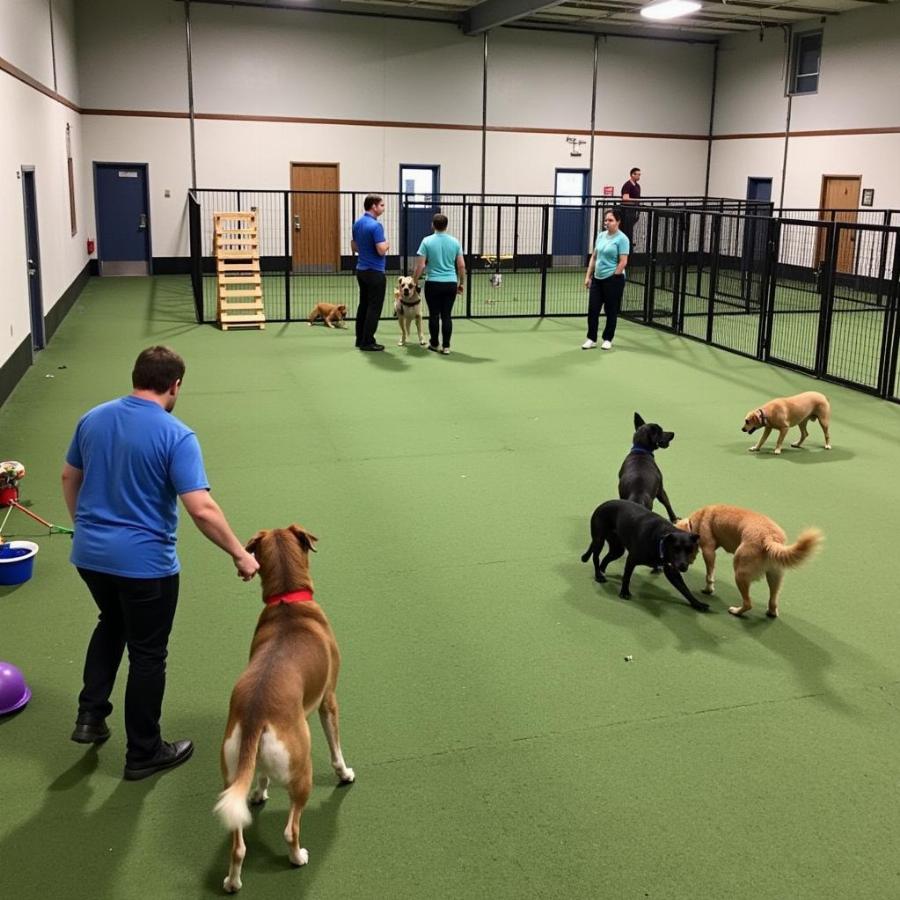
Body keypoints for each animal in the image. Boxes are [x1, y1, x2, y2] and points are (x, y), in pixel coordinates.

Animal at [215, 524, 356, 896]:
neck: (287, 602)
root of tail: (254, 714)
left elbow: (262, 776)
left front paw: (259, 792)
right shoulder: (328, 700)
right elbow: (336, 748)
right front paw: (345, 773)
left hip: (233, 771)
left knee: (238, 846)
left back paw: (232, 882)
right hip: (302, 772)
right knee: (291, 829)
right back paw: (297, 857)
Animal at [580, 500, 708, 612]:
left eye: (690, 550)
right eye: (675, 549)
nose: (683, 566)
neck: (659, 540)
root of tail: (602, 505)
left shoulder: (671, 570)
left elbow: (685, 589)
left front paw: (697, 604)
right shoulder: (631, 559)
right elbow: (627, 577)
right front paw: (624, 593)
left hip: (617, 549)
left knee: (605, 560)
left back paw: (602, 572)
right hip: (599, 540)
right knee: (596, 558)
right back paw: (598, 575)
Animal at [676, 506, 824, 620]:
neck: (696, 520)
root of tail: (769, 537)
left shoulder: (709, 551)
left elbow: (709, 576)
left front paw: (708, 589)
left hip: (740, 573)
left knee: (748, 603)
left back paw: (736, 611)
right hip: (775, 576)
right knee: (773, 600)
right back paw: (771, 612)